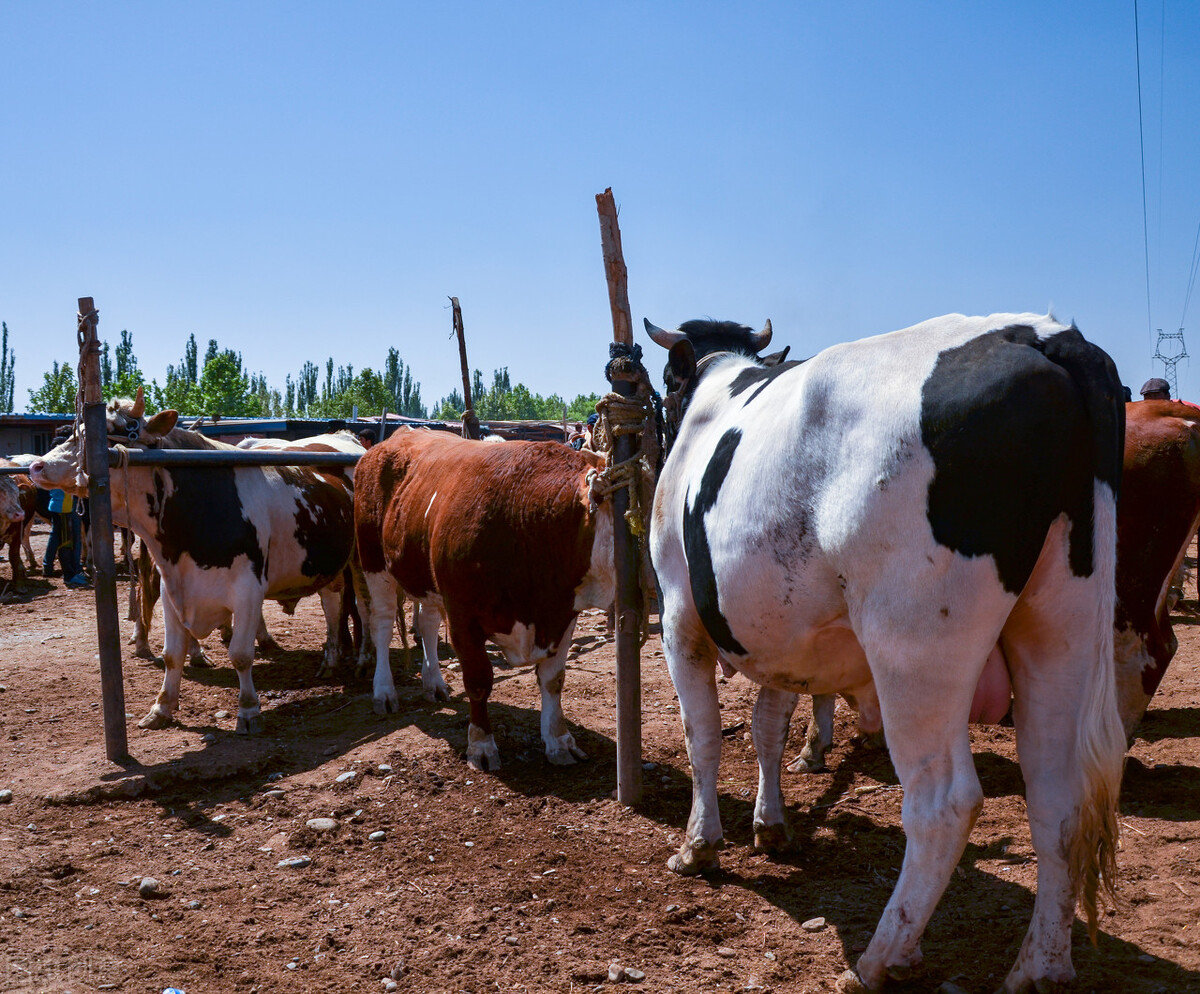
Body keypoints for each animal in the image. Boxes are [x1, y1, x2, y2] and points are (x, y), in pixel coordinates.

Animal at [30, 391, 352, 734]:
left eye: (108, 431)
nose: (37, 465)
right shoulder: (174, 590)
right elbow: (172, 654)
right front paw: (161, 708)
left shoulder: (248, 591)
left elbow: (241, 655)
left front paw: (249, 710)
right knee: (332, 604)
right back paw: (330, 661)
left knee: (337, 611)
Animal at [350, 427, 614, 768]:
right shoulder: (463, 614)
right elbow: (478, 680)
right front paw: (481, 745)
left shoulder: (562, 613)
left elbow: (553, 679)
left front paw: (558, 740)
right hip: (373, 562)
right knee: (381, 624)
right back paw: (384, 691)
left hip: (425, 578)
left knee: (428, 623)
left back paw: (434, 683)